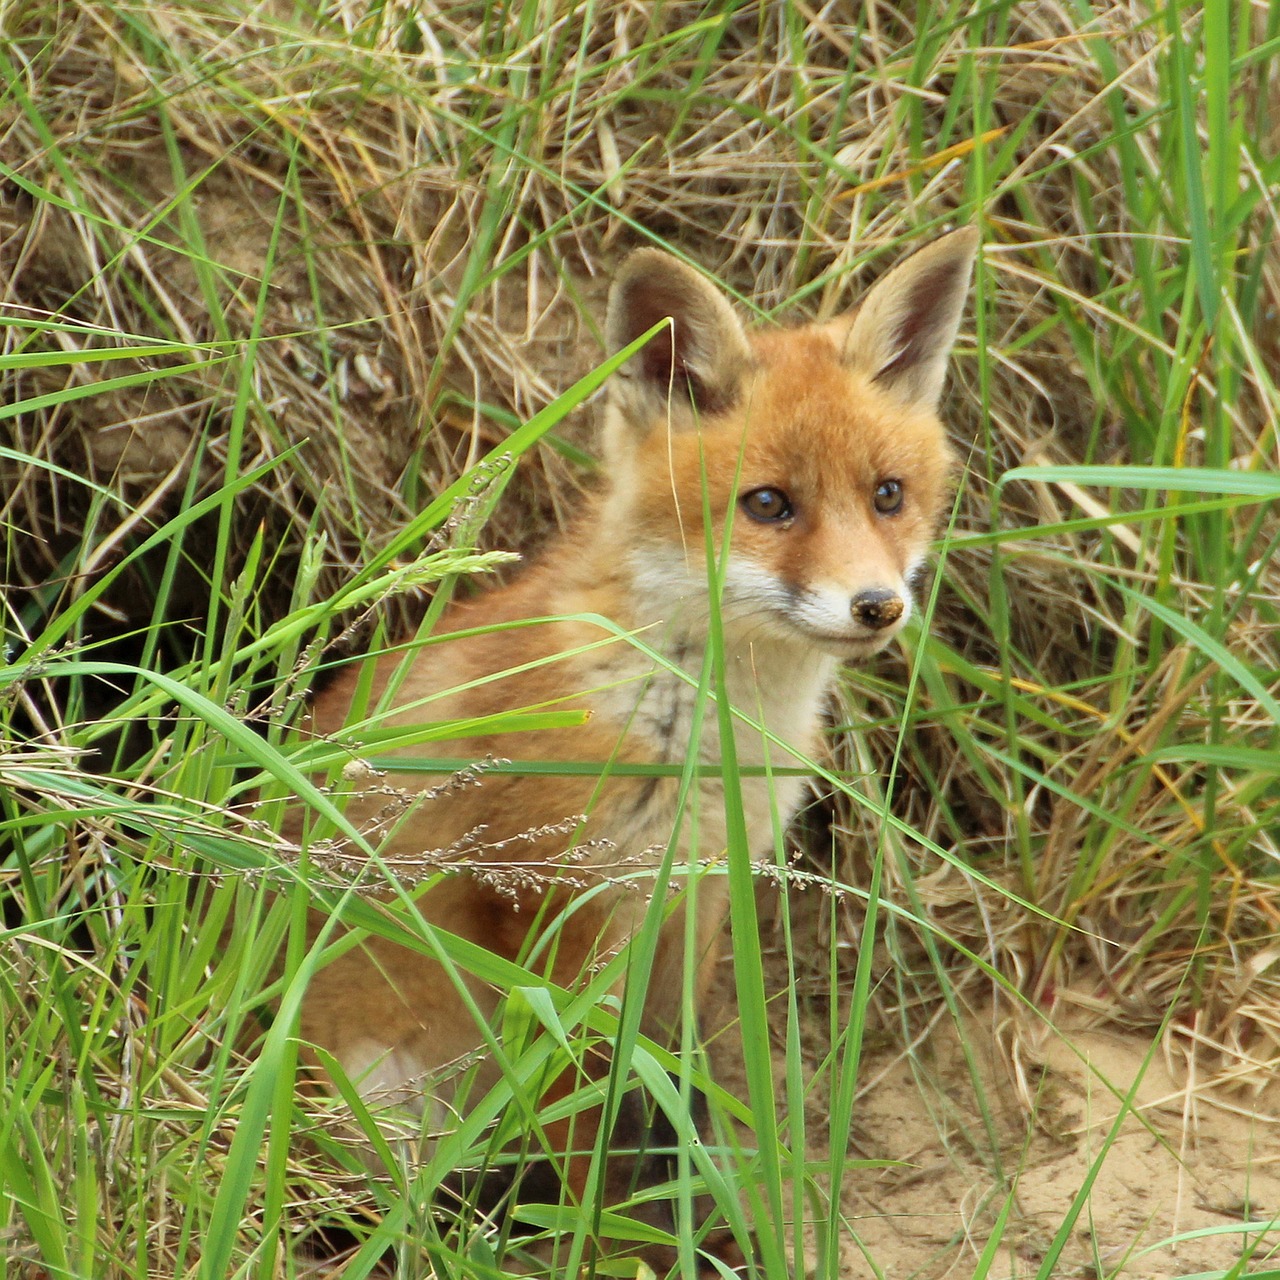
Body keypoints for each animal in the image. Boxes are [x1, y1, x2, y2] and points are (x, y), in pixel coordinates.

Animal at [285, 225, 972, 1274]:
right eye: (769, 505)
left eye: (888, 495)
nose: (877, 606)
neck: (698, 733)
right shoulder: (543, 906)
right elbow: (586, 1117)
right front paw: (608, 1249)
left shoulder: (693, 900)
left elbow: (669, 1096)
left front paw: (698, 1229)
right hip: (385, 1093)